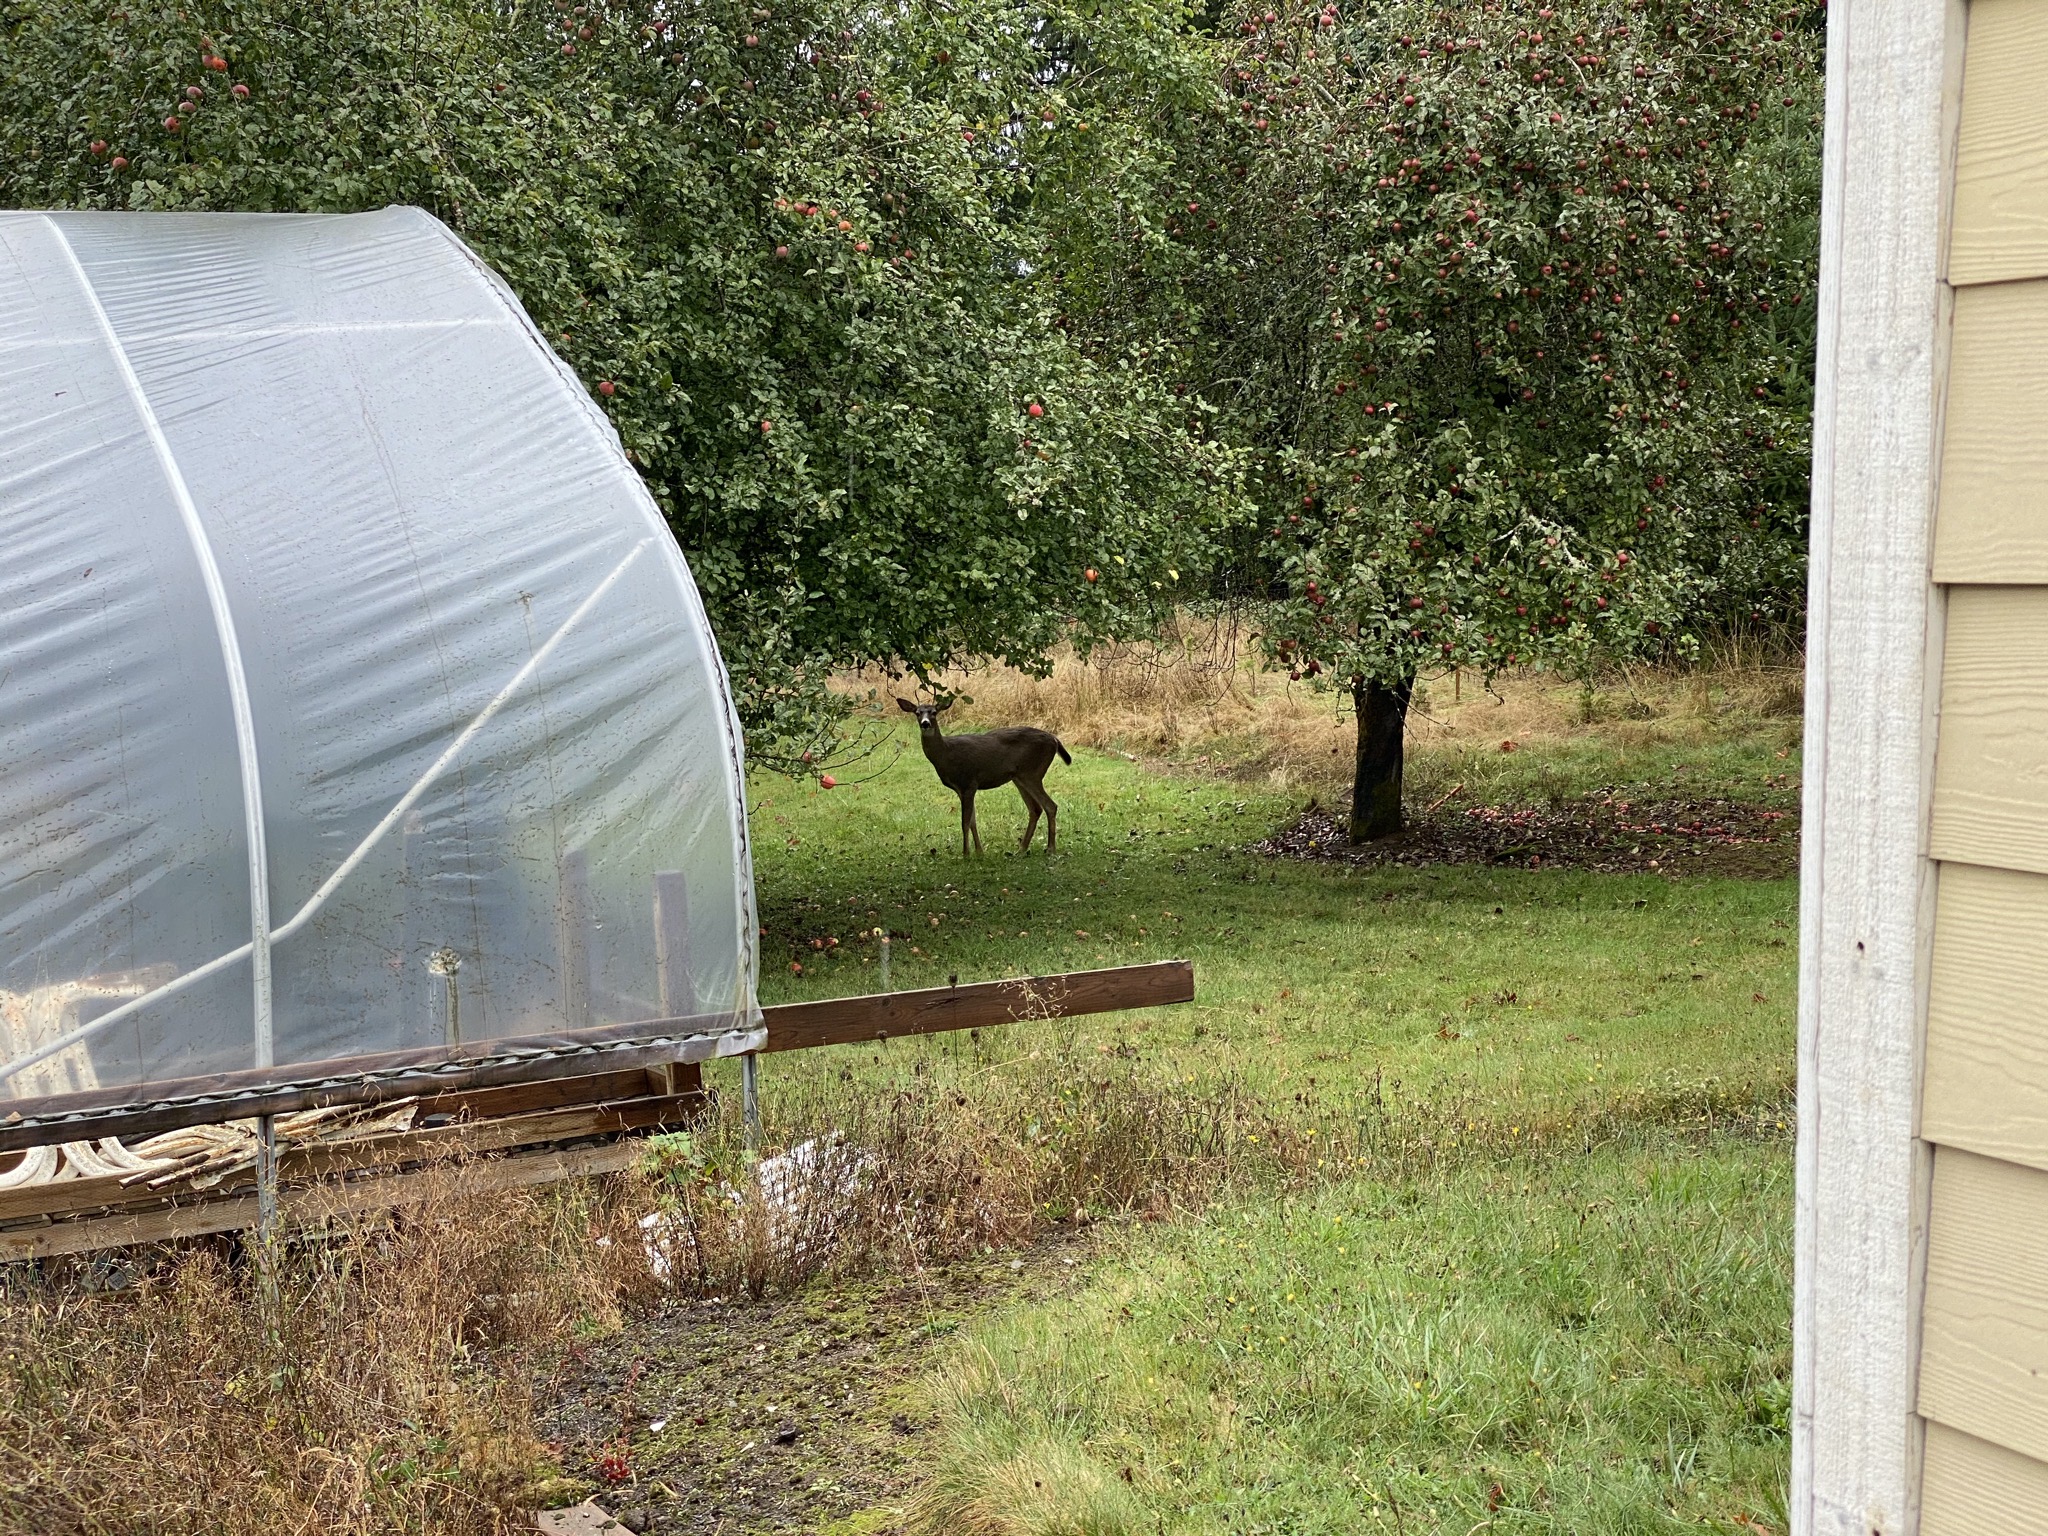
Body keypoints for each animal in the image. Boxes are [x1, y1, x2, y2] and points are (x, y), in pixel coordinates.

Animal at [897, 698, 1071, 856]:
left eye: (934, 712)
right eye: (917, 712)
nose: (925, 723)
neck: (946, 754)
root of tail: (1054, 740)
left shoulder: (969, 782)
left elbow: (965, 821)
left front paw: (966, 854)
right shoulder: (961, 789)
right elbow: (972, 821)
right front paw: (979, 852)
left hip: (1032, 772)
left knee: (1050, 805)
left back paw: (1050, 849)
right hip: (1019, 777)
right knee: (1035, 809)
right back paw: (1021, 850)